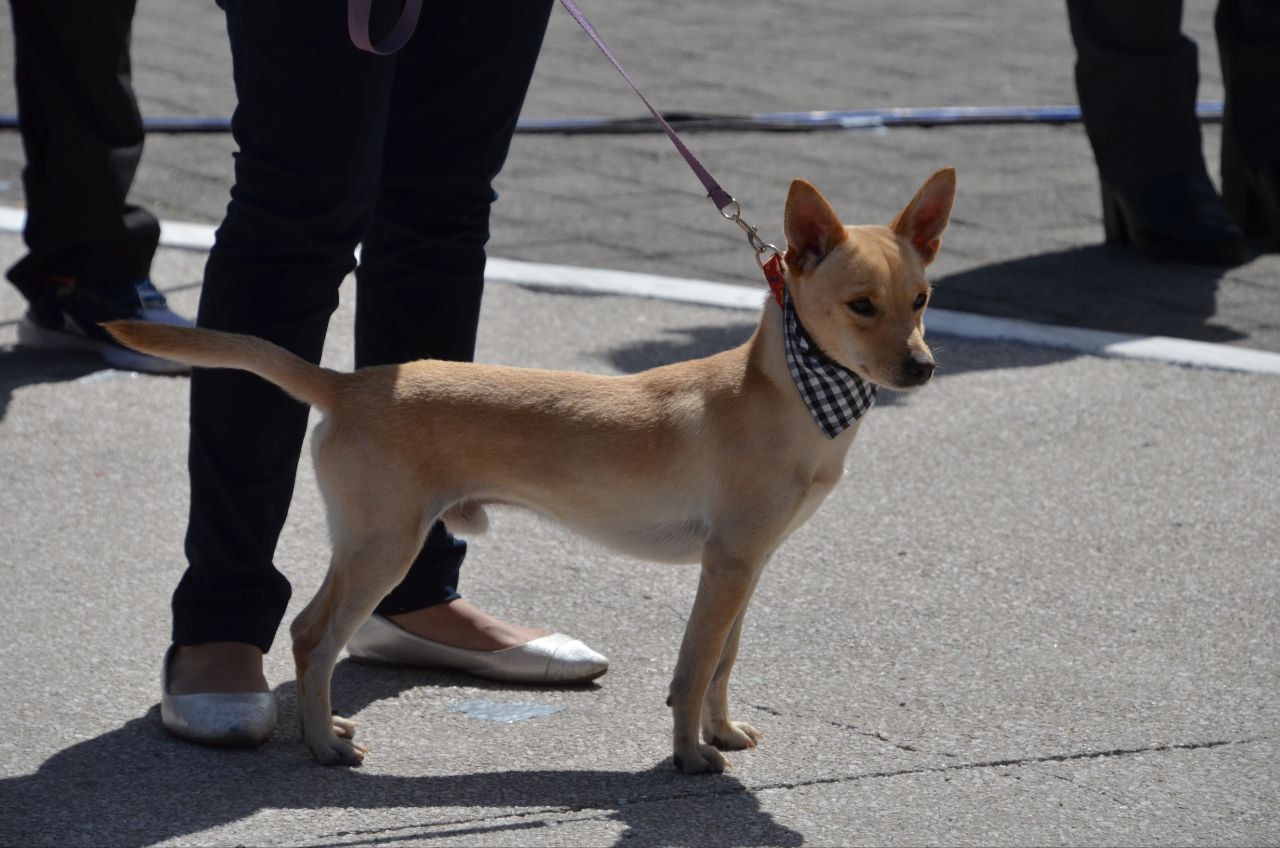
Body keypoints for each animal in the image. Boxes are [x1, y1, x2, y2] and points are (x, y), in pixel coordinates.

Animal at [107, 167, 952, 778]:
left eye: (921, 299)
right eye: (861, 305)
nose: (923, 369)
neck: (791, 393)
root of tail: (348, 383)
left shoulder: (743, 567)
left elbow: (721, 662)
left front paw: (721, 731)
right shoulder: (728, 565)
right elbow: (692, 668)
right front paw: (687, 754)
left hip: (372, 544)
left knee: (311, 632)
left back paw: (326, 725)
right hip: (385, 546)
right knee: (315, 636)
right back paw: (323, 745)